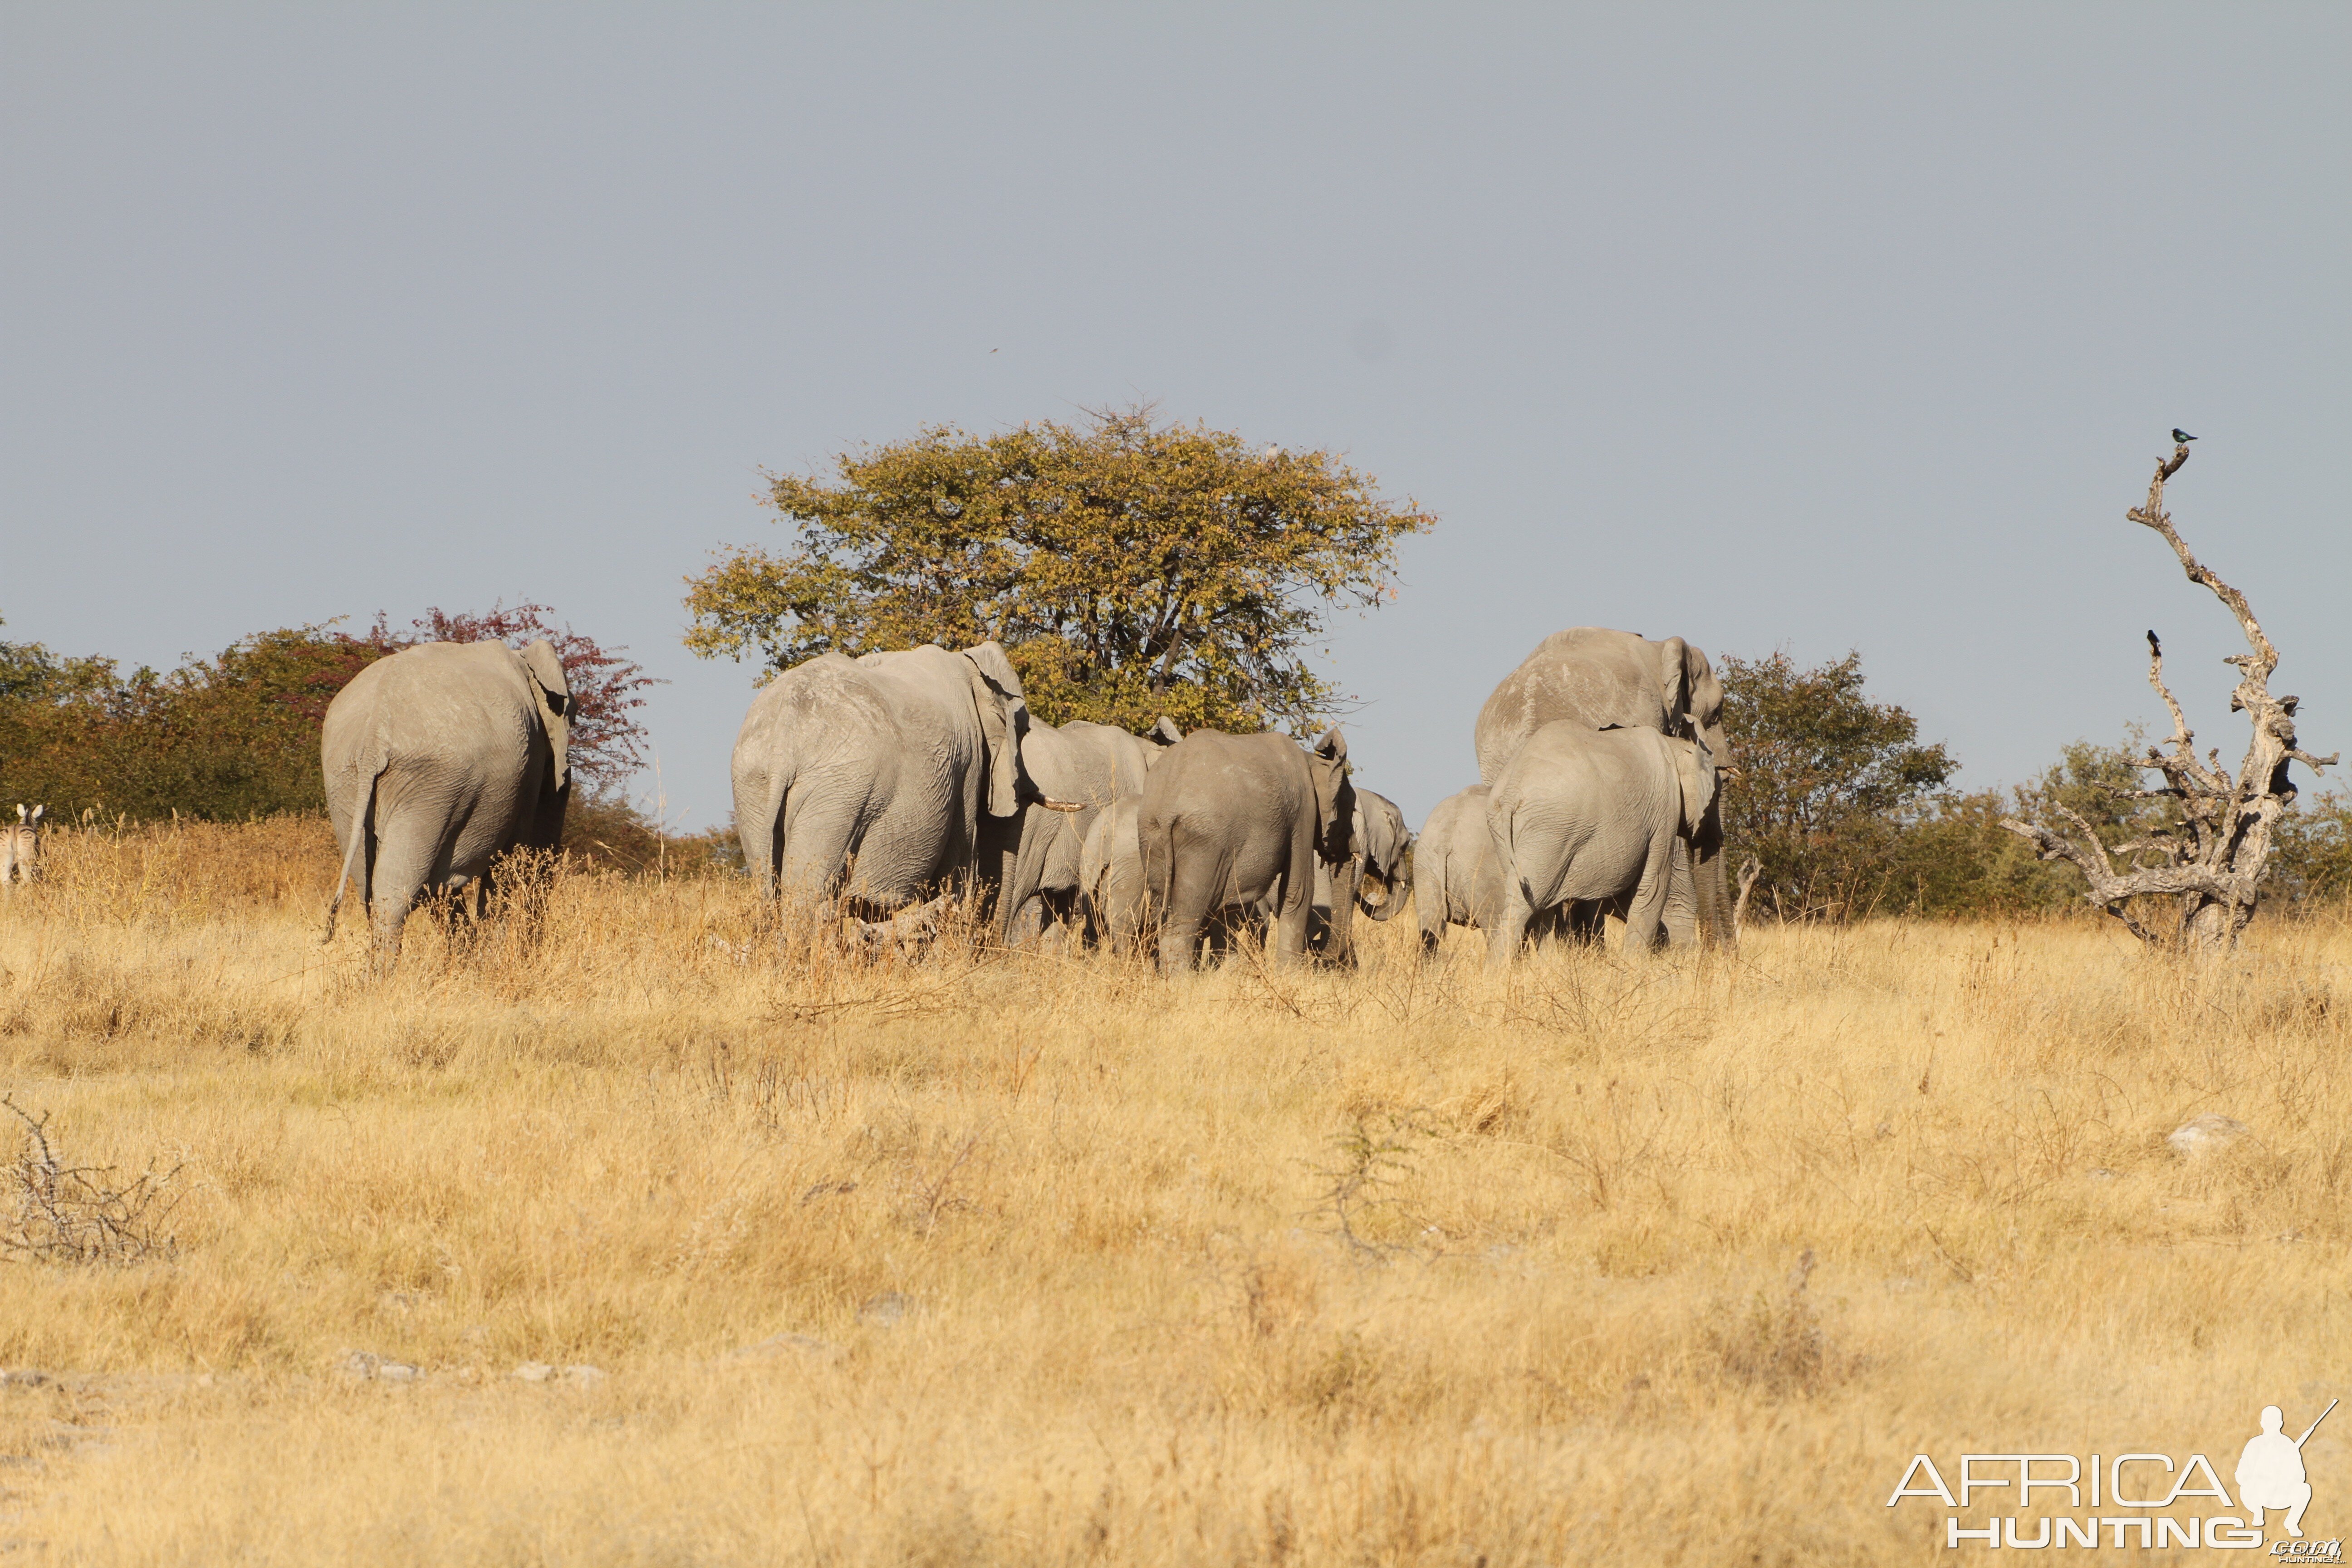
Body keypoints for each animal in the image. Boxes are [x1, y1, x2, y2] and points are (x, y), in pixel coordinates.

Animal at [322, 639, 573, 959]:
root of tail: (373, 738)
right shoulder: (533, 762)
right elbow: (510, 860)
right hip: (429, 784)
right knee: (400, 884)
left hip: (347, 781)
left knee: (372, 883)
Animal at [734, 639, 1077, 921]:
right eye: (1024, 729)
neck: (967, 662)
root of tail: (784, 744)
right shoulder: (966, 761)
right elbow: (960, 858)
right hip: (839, 795)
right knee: (810, 893)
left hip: (754, 788)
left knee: (769, 884)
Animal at [1143, 729, 1364, 973]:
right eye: (1351, 810)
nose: (1321, 958)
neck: (1312, 759)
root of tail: (1166, 811)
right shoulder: (1303, 811)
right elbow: (1299, 890)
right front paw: (1288, 975)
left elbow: (1229, 905)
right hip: (1203, 844)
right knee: (1185, 919)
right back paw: (1184, 979)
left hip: (1153, 837)